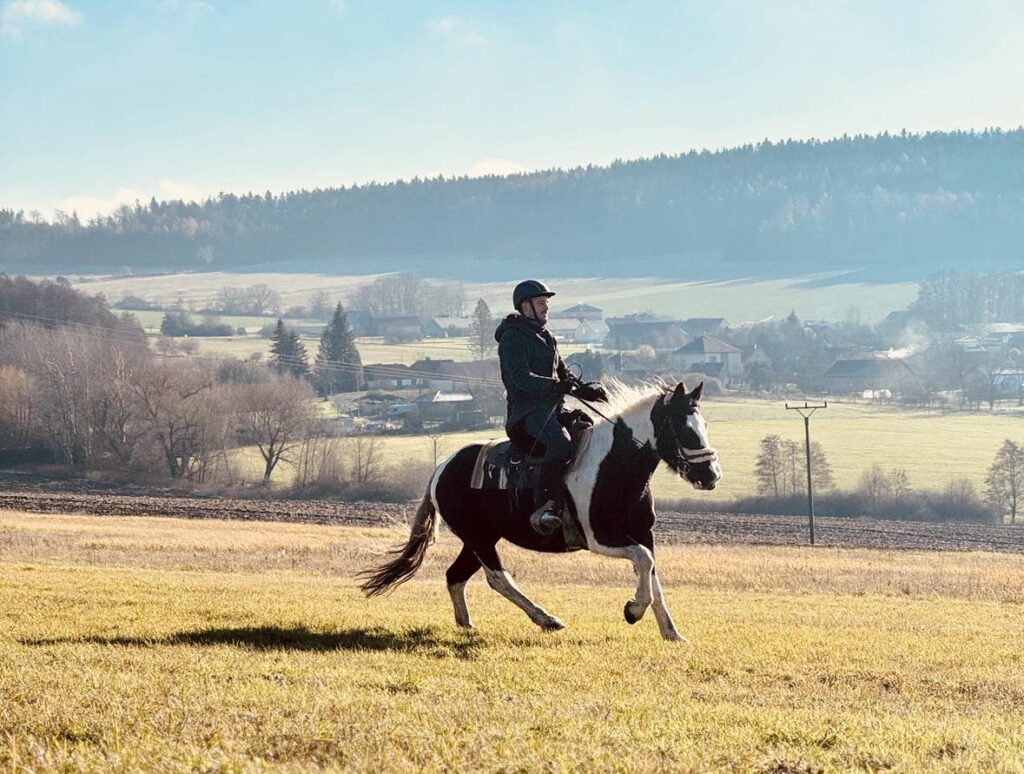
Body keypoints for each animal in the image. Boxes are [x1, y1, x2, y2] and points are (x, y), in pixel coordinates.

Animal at [358, 378, 720, 642]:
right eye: (685, 429)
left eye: (704, 425)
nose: (711, 475)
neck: (613, 466)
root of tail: (442, 468)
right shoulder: (599, 538)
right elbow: (644, 561)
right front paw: (632, 611)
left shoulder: (643, 534)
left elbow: (653, 576)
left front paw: (671, 632)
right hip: (479, 538)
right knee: (497, 578)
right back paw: (546, 619)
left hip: (479, 538)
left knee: (455, 576)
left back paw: (466, 624)